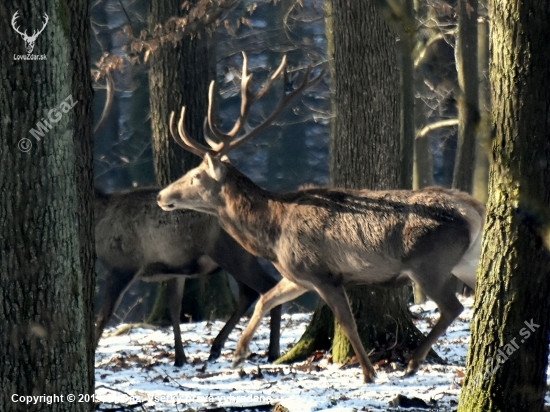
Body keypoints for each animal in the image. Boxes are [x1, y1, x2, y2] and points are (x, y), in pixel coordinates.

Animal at [155, 54, 488, 384]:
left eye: (195, 176)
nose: (161, 195)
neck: (273, 233)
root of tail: (475, 210)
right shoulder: (297, 275)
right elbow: (267, 299)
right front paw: (238, 355)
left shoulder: (322, 273)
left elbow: (347, 322)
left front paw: (368, 373)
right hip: (466, 261)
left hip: (429, 263)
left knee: (453, 307)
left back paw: (413, 363)